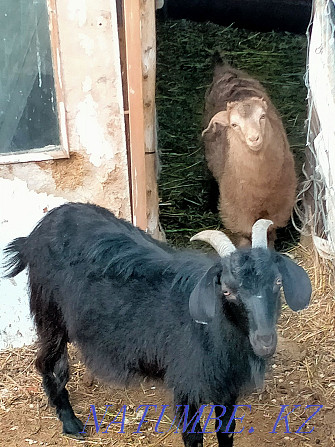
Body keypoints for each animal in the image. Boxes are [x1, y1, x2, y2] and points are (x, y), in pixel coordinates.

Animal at [3, 204, 312, 447]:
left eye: (277, 282)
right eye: (227, 290)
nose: (265, 340)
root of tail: (33, 236)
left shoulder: (227, 386)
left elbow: (226, 432)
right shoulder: (186, 383)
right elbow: (193, 437)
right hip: (49, 314)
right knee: (47, 362)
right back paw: (70, 423)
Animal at [203, 66, 298, 247]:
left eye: (262, 116)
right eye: (234, 124)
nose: (254, 138)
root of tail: (224, 68)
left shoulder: (279, 206)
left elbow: (269, 231)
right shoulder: (237, 213)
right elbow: (247, 235)